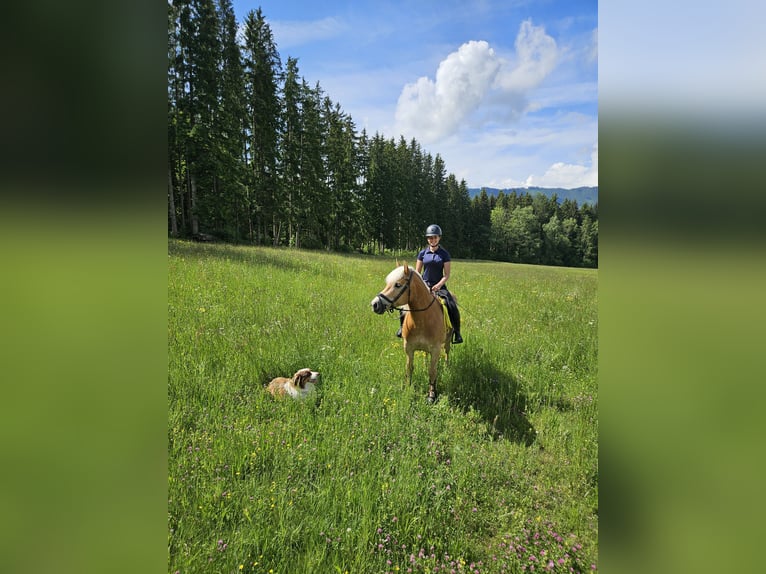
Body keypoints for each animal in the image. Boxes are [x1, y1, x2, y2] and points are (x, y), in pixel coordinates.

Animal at [370, 264, 452, 402]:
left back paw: (446, 368)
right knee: (425, 355)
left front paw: (431, 394)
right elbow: (409, 368)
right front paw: (407, 389)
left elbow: (432, 371)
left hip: (447, 342)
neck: (423, 319)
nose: (375, 304)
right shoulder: (408, 348)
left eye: (398, 284)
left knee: (446, 353)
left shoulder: (435, 349)